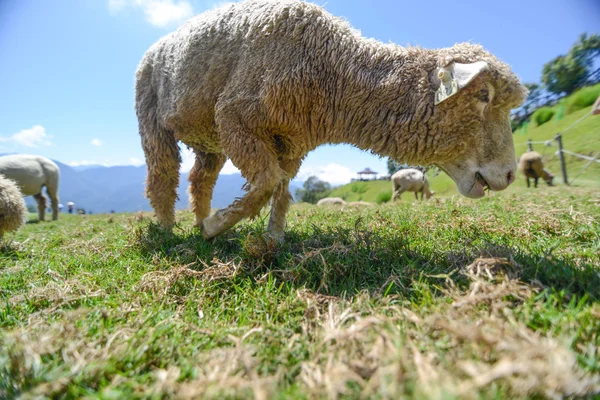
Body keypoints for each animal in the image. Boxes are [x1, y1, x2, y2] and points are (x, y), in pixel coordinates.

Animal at [135, 0, 524, 241]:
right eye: (483, 95)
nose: (509, 174)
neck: (331, 72)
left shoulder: (292, 142)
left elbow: (281, 188)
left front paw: (273, 237)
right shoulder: (233, 116)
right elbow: (266, 181)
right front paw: (217, 227)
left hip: (208, 138)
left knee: (200, 178)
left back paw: (198, 217)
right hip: (152, 114)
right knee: (162, 175)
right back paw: (169, 229)